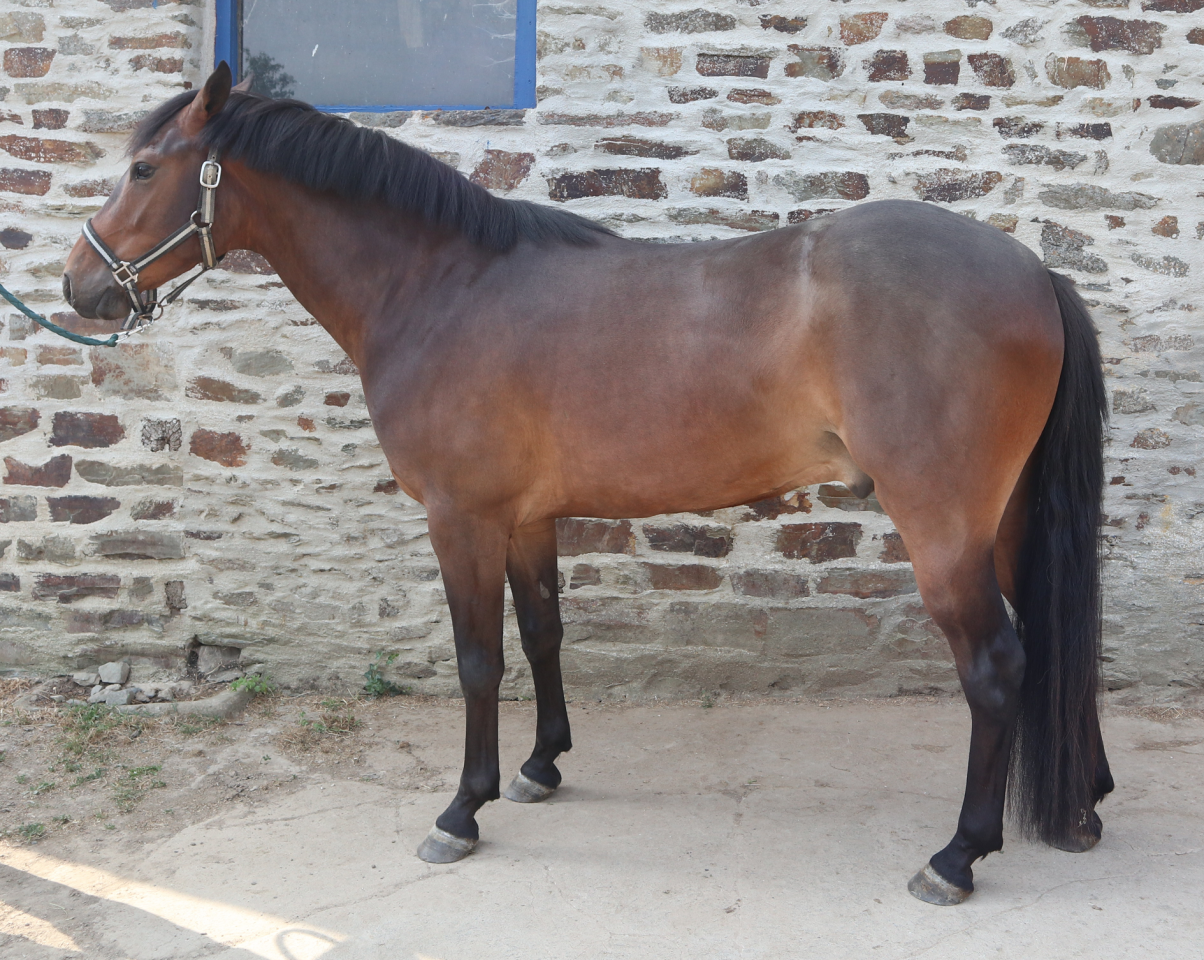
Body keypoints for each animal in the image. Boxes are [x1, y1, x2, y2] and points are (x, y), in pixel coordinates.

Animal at [62, 64, 1112, 905]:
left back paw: (958, 856)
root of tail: (1033, 271)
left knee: (997, 668)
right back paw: (1085, 804)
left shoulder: (462, 519)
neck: (439, 287)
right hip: (1006, 523)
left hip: (944, 532)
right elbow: (542, 634)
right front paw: (539, 765)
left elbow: (478, 659)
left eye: (144, 170)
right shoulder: (527, 520)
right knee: (1058, 640)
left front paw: (463, 809)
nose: (81, 286)